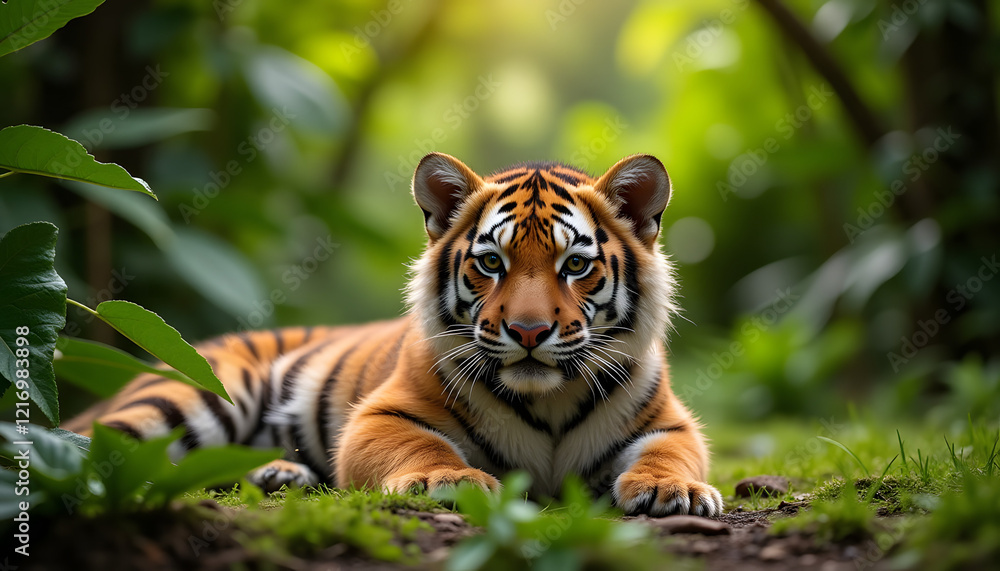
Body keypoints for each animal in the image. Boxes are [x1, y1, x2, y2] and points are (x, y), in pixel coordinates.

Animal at [65, 152, 724, 517]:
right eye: (492, 263)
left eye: (576, 265)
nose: (529, 330)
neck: (548, 401)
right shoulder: (381, 414)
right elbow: (421, 447)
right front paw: (449, 479)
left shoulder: (671, 422)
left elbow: (671, 453)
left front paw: (677, 491)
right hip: (195, 393)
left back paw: (279, 474)